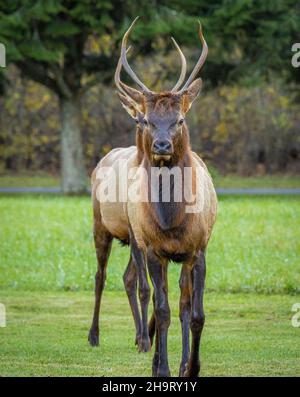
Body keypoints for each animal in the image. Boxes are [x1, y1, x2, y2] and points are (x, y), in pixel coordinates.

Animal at [88, 17, 217, 378]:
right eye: (146, 119)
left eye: (180, 119)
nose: (161, 145)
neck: (172, 218)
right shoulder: (152, 248)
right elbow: (160, 308)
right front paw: (160, 367)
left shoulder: (197, 249)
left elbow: (195, 313)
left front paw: (191, 366)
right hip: (102, 226)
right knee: (104, 277)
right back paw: (96, 336)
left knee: (179, 301)